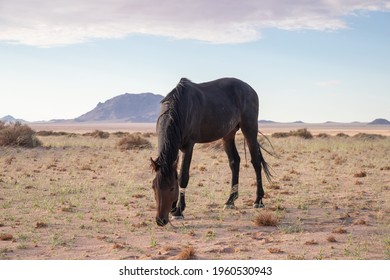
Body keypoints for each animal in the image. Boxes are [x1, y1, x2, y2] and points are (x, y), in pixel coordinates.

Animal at [149, 77, 272, 226]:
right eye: (154, 187)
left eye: (172, 188)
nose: (160, 220)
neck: (179, 108)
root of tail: (250, 89)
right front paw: (174, 209)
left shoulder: (188, 145)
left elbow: (183, 176)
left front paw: (179, 211)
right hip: (228, 134)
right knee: (235, 162)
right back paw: (230, 201)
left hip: (249, 129)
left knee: (256, 162)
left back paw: (258, 200)